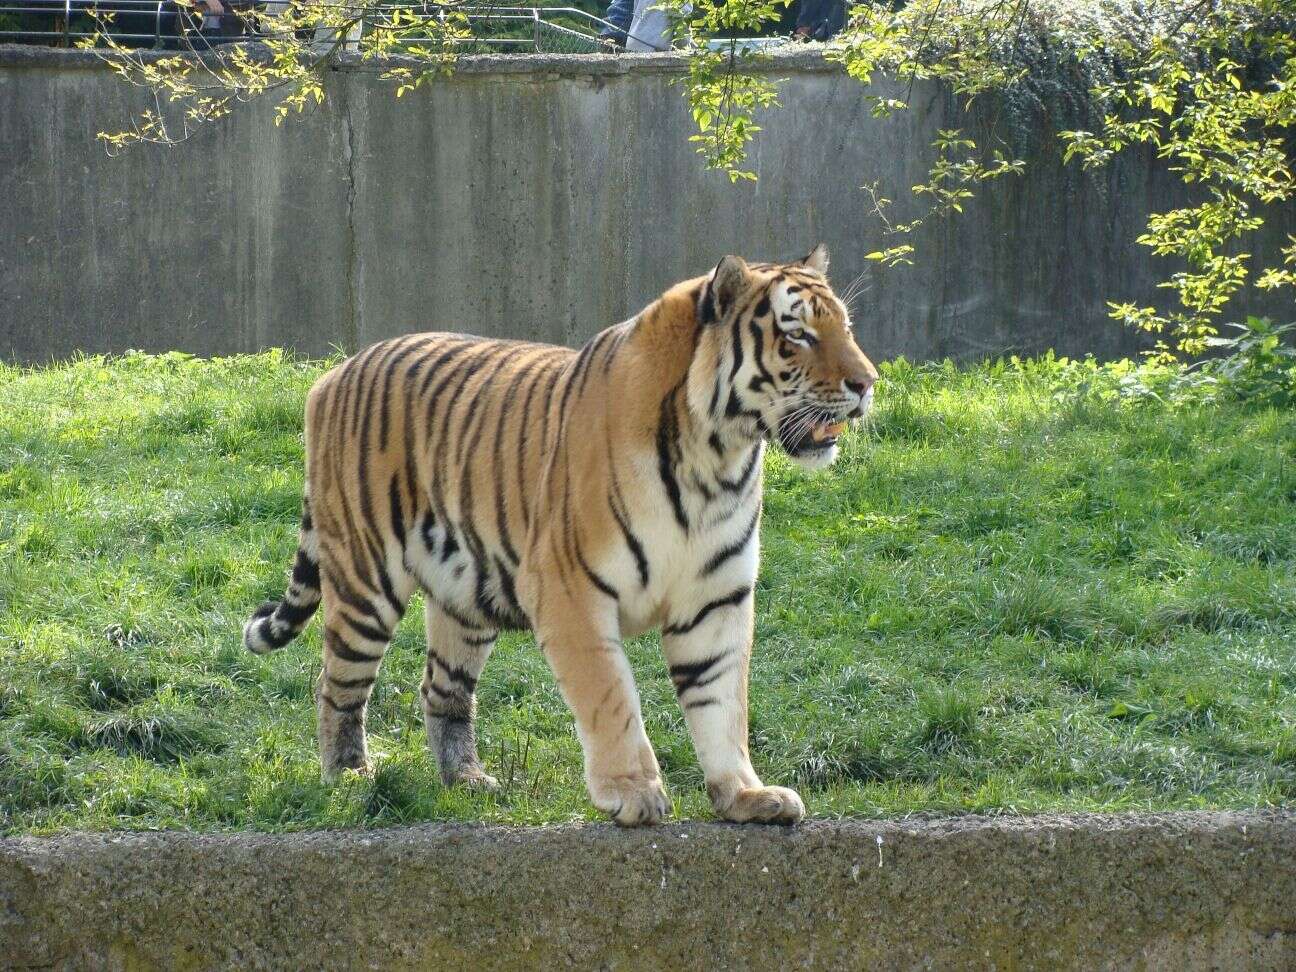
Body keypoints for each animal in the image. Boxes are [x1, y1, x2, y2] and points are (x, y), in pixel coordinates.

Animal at [241, 247, 881, 824]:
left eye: (845, 328)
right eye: (796, 335)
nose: (867, 382)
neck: (717, 459)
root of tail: (336, 371)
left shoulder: (715, 598)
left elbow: (722, 703)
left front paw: (745, 796)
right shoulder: (571, 588)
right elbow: (612, 697)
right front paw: (633, 793)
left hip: (465, 594)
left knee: (442, 688)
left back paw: (466, 780)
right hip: (366, 580)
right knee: (337, 684)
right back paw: (348, 775)